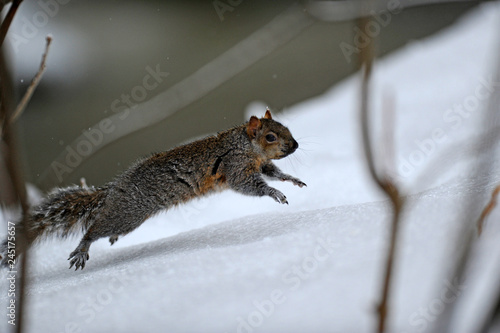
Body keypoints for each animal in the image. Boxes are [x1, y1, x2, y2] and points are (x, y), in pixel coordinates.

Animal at [0, 109, 304, 270]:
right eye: (270, 136)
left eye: (285, 126)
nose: (296, 145)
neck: (246, 146)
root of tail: (113, 190)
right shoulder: (236, 168)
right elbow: (251, 186)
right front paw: (275, 194)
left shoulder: (260, 165)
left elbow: (274, 172)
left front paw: (292, 180)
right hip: (129, 214)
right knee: (94, 228)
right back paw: (83, 248)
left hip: (128, 219)